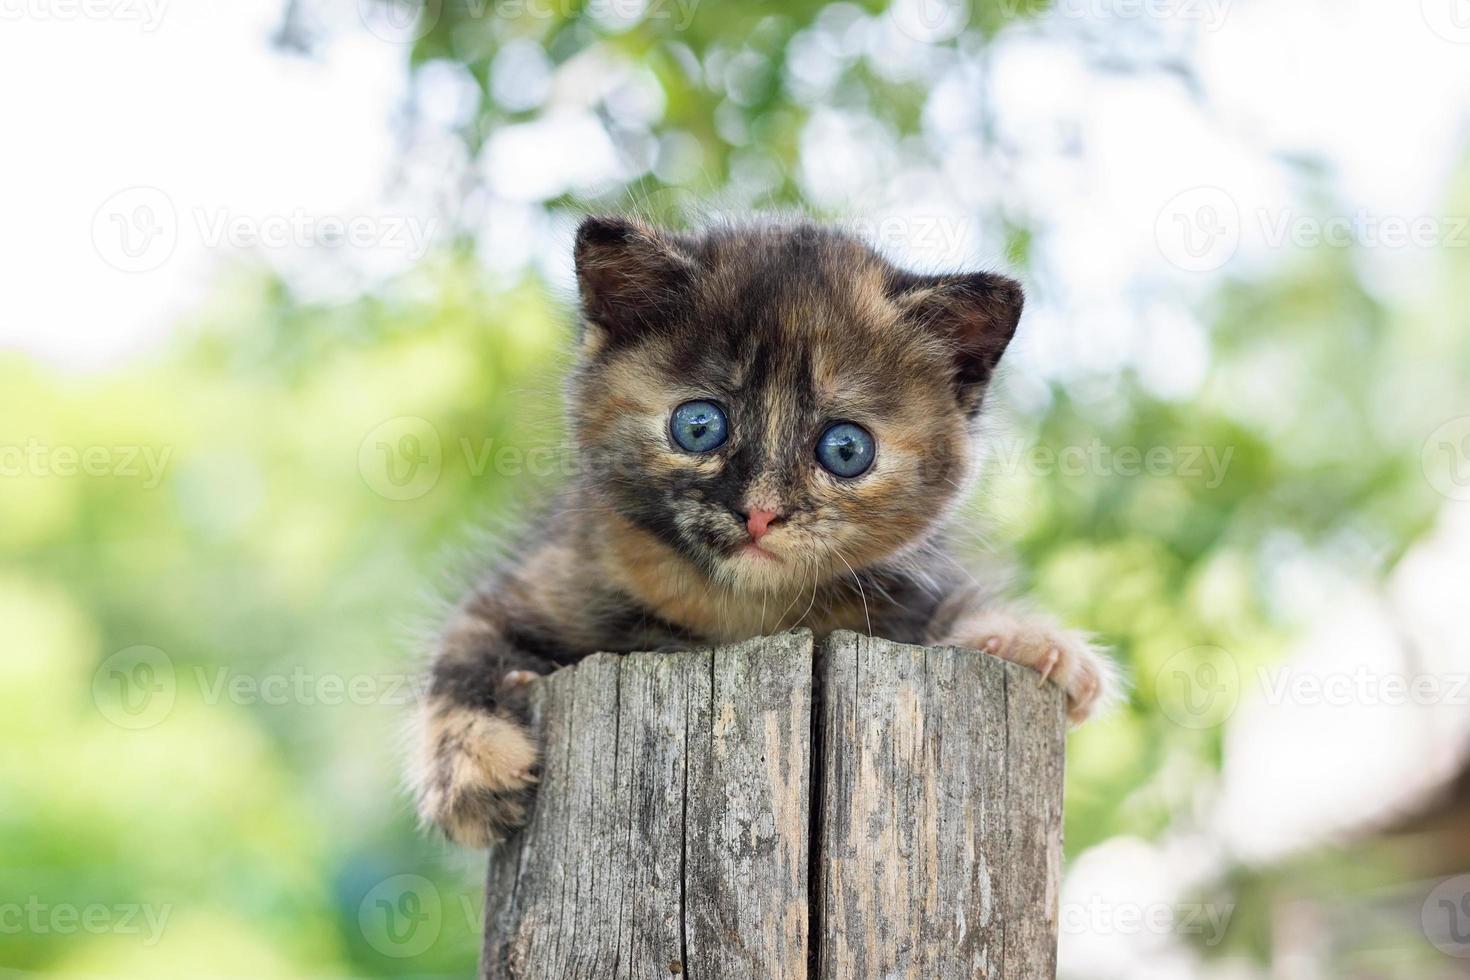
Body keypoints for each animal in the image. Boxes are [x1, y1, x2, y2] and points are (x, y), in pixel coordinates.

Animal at [414, 218, 1111, 846]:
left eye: (846, 449)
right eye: (698, 426)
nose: (759, 512)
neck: (744, 610)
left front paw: (1034, 644)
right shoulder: (545, 574)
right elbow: (459, 655)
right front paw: (474, 772)